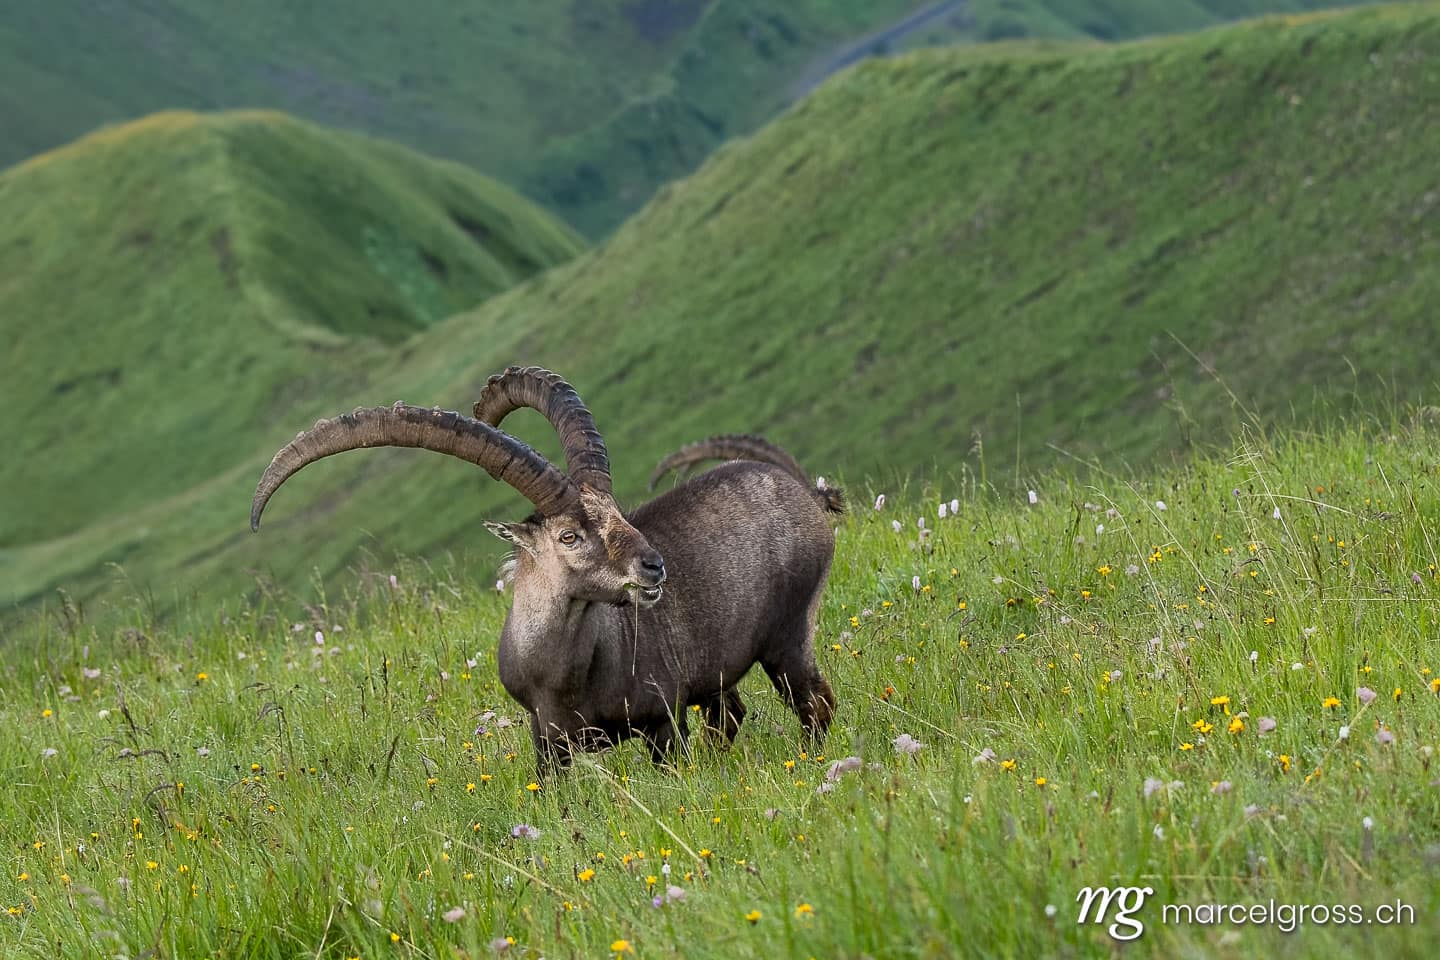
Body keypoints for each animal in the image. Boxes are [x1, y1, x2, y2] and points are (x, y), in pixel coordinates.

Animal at [250, 366, 841, 776]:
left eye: (620, 513)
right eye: (569, 535)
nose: (653, 567)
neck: (562, 673)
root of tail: (808, 497)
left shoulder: (662, 720)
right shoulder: (547, 739)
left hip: (788, 634)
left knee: (814, 702)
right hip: (720, 675)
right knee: (732, 714)